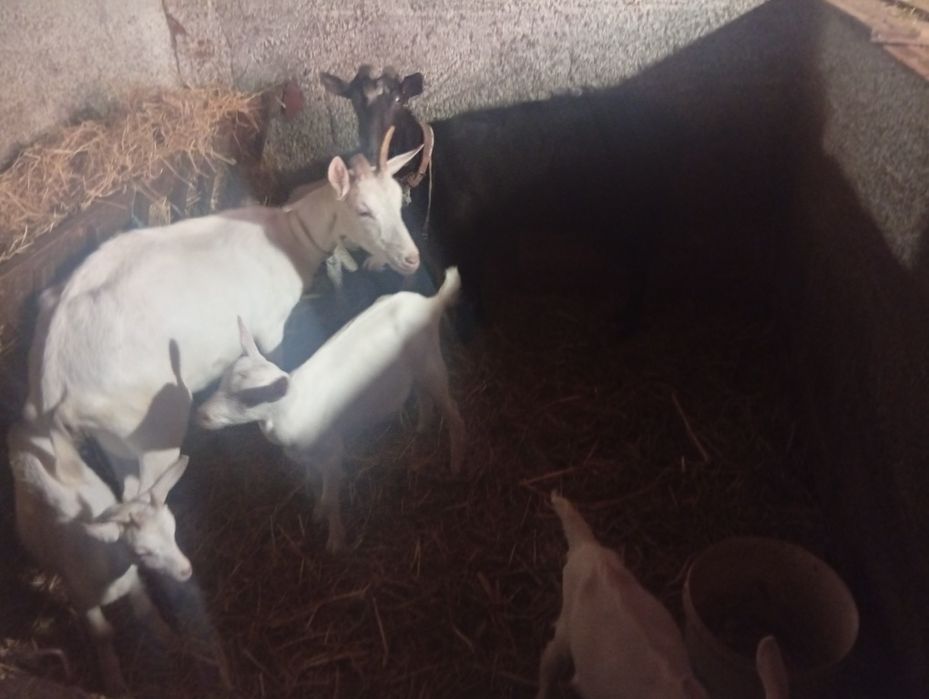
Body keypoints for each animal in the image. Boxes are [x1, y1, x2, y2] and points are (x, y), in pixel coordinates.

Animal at [8, 417, 197, 696]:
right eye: (141, 550)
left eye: (172, 530)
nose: (186, 570)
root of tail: (24, 426)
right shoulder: (82, 597)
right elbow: (103, 634)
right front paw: (114, 681)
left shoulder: (134, 581)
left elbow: (146, 612)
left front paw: (171, 639)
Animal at [26, 131, 423, 499]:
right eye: (363, 210)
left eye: (398, 201)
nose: (412, 259)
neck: (290, 236)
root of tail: (53, 377)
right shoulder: (271, 326)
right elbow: (274, 361)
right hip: (146, 424)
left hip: (113, 439)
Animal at [196, 268, 466, 553]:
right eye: (222, 382)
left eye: (250, 398)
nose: (201, 415)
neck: (289, 409)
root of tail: (430, 303)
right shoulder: (306, 457)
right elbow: (314, 486)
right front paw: (316, 513)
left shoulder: (332, 453)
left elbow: (331, 497)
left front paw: (335, 539)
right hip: (416, 368)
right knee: (423, 395)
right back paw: (423, 428)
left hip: (431, 363)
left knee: (453, 413)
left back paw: (455, 463)